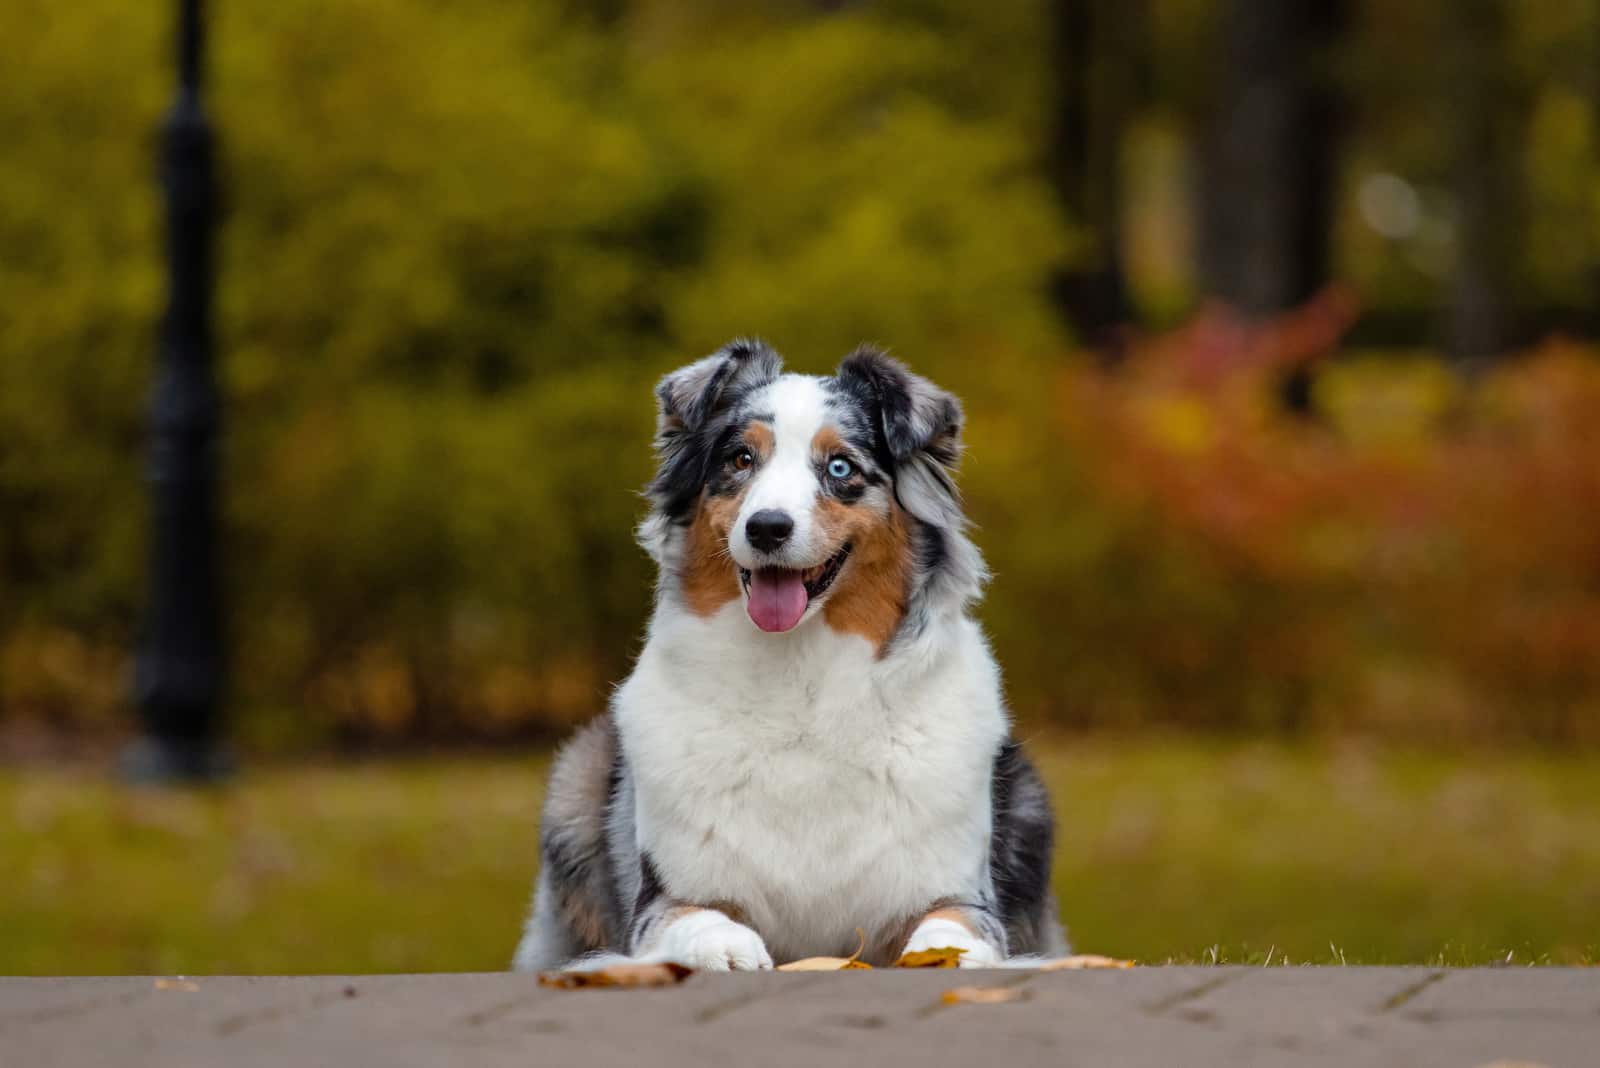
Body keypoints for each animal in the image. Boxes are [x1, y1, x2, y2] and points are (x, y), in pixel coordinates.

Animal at [512, 342, 1062, 978]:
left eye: (841, 468)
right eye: (741, 459)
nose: (767, 527)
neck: (801, 682)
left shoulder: (963, 893)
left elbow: (953, 927)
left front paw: (943, 955)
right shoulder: (663, 900)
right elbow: (697, 917)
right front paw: (726, 946)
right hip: (575, 778)